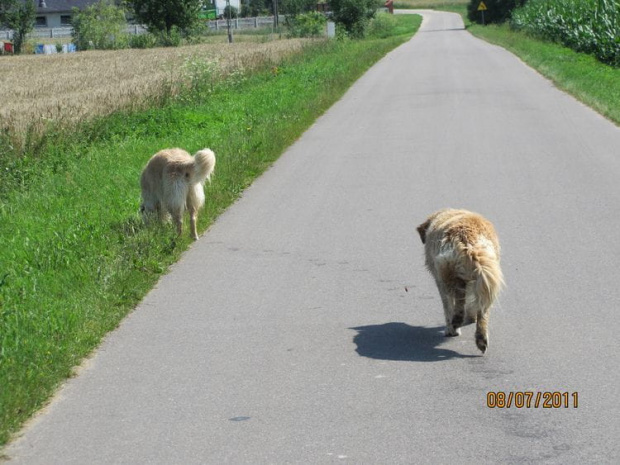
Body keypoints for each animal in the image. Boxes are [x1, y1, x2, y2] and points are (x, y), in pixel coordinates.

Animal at [416, 208, 504, 354]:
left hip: (447, 274)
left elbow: (448, 306)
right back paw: (481, 339)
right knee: (482, 310)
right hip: (486, 276)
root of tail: (469, 242)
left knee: (455, 301)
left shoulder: (440, 279)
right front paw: (471, 317)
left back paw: (455, 324)